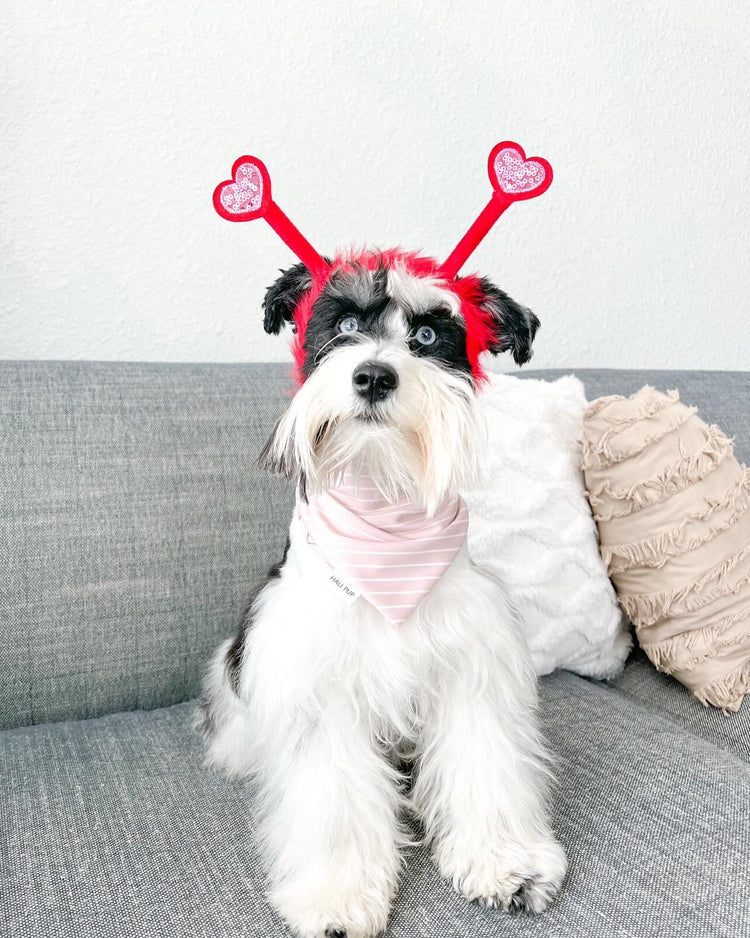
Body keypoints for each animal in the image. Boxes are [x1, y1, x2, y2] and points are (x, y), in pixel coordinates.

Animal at [197, 249, 568, 936]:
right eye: (342, 325)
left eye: (425, 336)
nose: (373, 376)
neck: (383, 509)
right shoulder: (319, 685)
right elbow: (334, 800)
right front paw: (336, 896)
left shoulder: (471, 671)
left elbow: (484, 766)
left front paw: (506, 862)